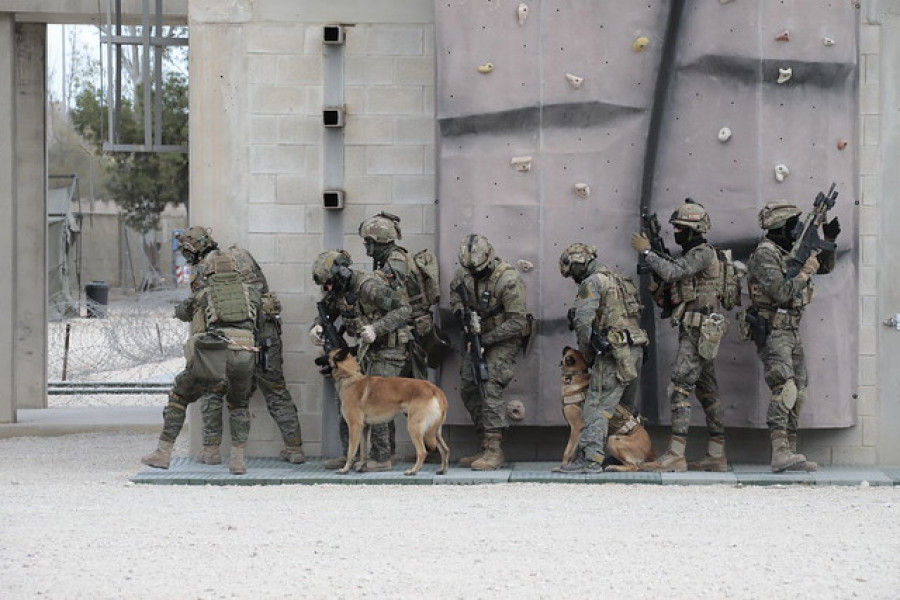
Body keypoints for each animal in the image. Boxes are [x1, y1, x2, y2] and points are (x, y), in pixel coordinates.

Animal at [326, 344, 450, 476]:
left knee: (422, 452)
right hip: (434, 430)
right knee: (445, 449)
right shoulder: (364, 428)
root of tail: (435, 389)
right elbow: (363, 451)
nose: (317, 359)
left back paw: (413, 471)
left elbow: (351, 451)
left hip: (414, 427)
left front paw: (345, 469)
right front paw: (361, 467)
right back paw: (442, 470)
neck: (350, 376)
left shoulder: (354, 426)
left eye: (326, 353)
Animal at [556, 344, 652, 472]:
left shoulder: (576, 428)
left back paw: (614, 467)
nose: (566, 347)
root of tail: (650, 453)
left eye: (565, 352)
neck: (577, 375)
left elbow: (568, 451)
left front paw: (562, 466)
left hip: (613, 440)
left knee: (634, 466)